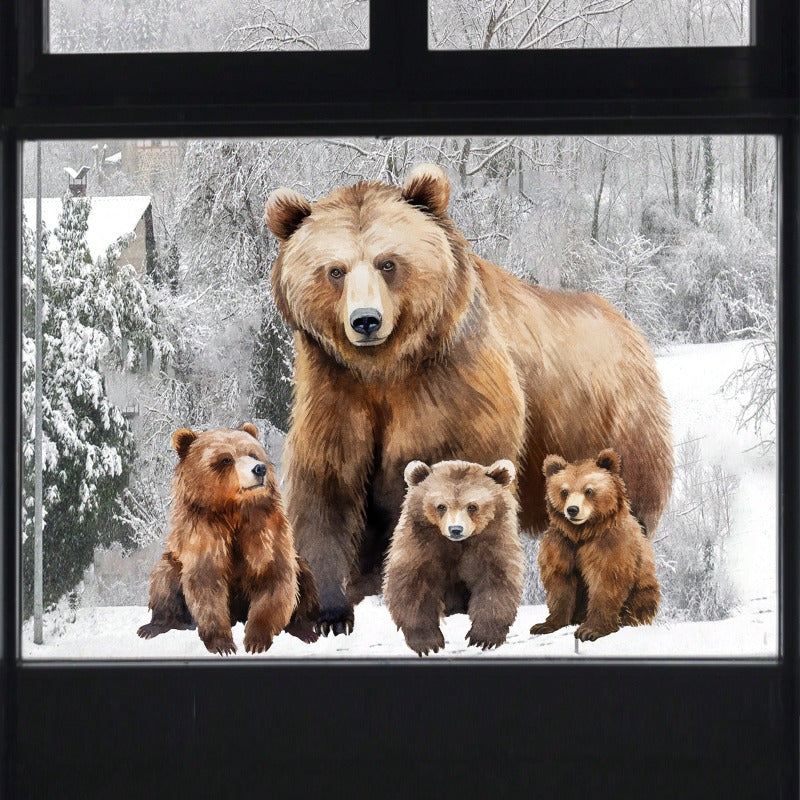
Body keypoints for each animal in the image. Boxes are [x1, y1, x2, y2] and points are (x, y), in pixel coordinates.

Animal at [137, 424, 320, 655]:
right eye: (226, 459)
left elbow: (274, 580)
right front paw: (222, 644)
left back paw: (304, 630)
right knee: (163, 579)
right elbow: (206, 585)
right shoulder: (205, 536)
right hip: (172, 562)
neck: (233, 511)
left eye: (253, 454)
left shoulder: (264, 535)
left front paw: (256, 640)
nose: (259, 469)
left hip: (299, 567)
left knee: (304, 578)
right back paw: (154, 626)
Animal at [383, 458, 524, 656]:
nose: (455, 529)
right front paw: (427, 641)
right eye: (441, 506)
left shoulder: (491, 543)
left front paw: (484, 637)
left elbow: (496, 581)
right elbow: (412, 584)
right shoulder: (422, 545)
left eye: (472, 506)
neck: (458, 544)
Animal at [530, 448, 660, 641]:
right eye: (564, 491)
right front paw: (545, 625)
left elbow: (606, 581)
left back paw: (630, 619)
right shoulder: (562, 544)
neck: (582, 533)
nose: (572, 510)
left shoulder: (609, 544)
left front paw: (590, 630)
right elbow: (560, 582)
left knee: (641, 602)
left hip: (642, 587)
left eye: (589, 490)